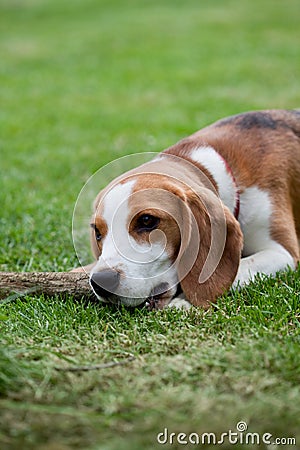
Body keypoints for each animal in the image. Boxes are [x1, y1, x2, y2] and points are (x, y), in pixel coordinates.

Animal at [75, 110, 300, 312]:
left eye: (147, 220)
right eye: (97, 233)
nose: (101, 281)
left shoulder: (282, 253)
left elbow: (241, 268)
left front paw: (185, 300)